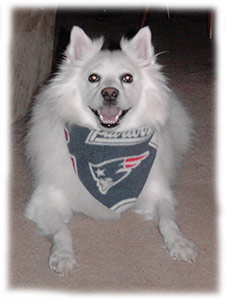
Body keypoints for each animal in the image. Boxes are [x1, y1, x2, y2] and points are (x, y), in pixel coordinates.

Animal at [24, 26, 197, 276]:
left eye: (127, 78)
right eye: (93, 78)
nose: (109, 93)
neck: (109, 143)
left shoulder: (159, 194)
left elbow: (168, 221)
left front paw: (180, 243)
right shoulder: (44, 201)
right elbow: (62, 231)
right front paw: (63, 255)